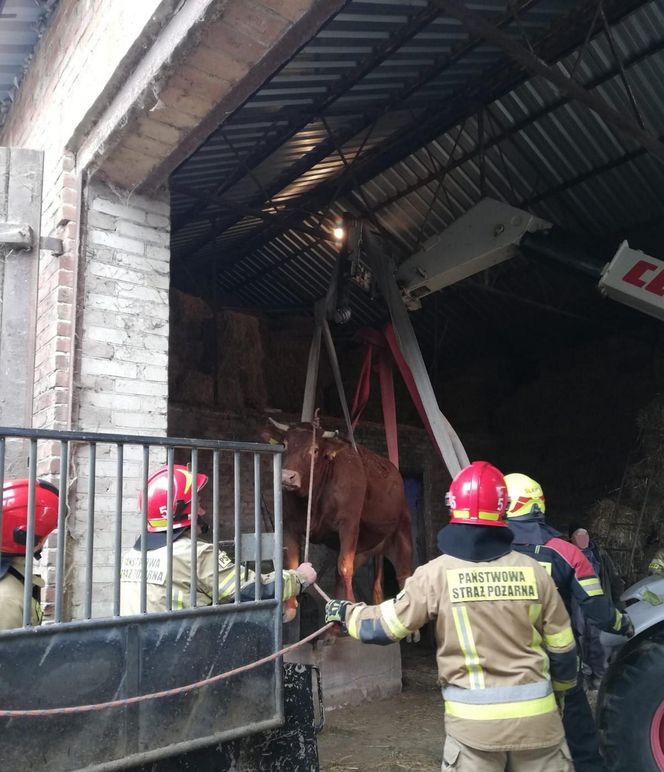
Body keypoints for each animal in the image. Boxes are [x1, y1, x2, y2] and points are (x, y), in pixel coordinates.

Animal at [262, 420, 412, 620]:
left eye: (315, 450)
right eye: (285, 445)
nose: (287, 476)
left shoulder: (349, 525)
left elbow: (344, 567)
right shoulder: (288, 524)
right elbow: (292, 563)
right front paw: (290, 608)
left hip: (402, 532)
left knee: (403, 574)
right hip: (364, 550)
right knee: (342, 576)